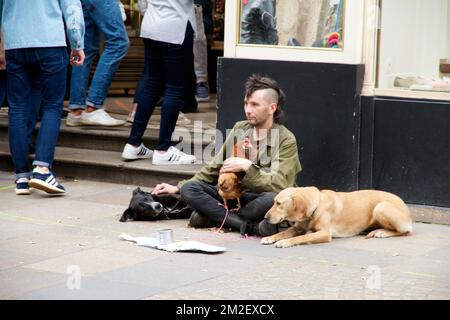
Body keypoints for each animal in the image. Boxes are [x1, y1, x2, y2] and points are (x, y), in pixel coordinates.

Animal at [262, 188, 414, 248]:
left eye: (279, 203)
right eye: (274, 202)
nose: (265, 217)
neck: (317, 204)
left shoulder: (324, 233)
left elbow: (302, 237)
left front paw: (285, 242)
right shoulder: (297, 228)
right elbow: (282, 233)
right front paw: (270, 237)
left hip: (380, 207)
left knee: (405, 232)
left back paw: (383, 232)